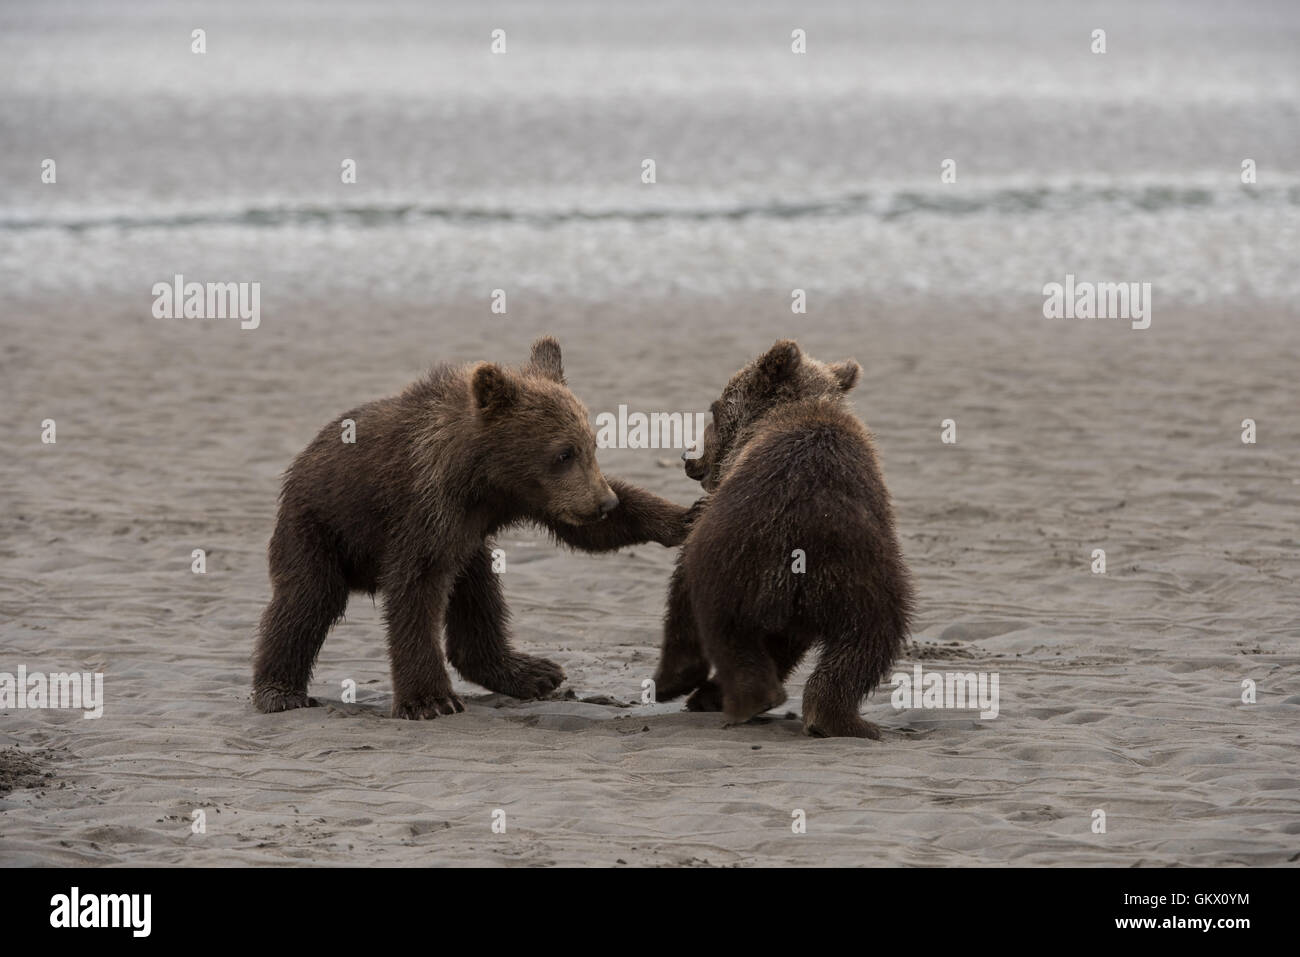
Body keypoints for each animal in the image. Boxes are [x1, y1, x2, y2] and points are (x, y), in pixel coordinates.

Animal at [252, 336, 689, 719]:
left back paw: (531, 671)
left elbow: (584, 531)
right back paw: (279, 691)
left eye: (592, 446)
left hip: (467, 547)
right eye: (564, 452)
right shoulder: (425, 506)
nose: (604, 503)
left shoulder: (526, 498)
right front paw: (429, 700)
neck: (484, 478)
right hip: (316, 526)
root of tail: (300, 462)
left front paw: (684, 516)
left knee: (478, 591)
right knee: (307, 598)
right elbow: (416, 590)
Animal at [651, 339, 913, 738]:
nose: (688, 457)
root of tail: (799, 546)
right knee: (867, 641)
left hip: (731, 553)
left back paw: (705, 688)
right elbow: (785, 644)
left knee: (710, 617)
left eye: (714, 409)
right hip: (864, 577)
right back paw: (838, 718)